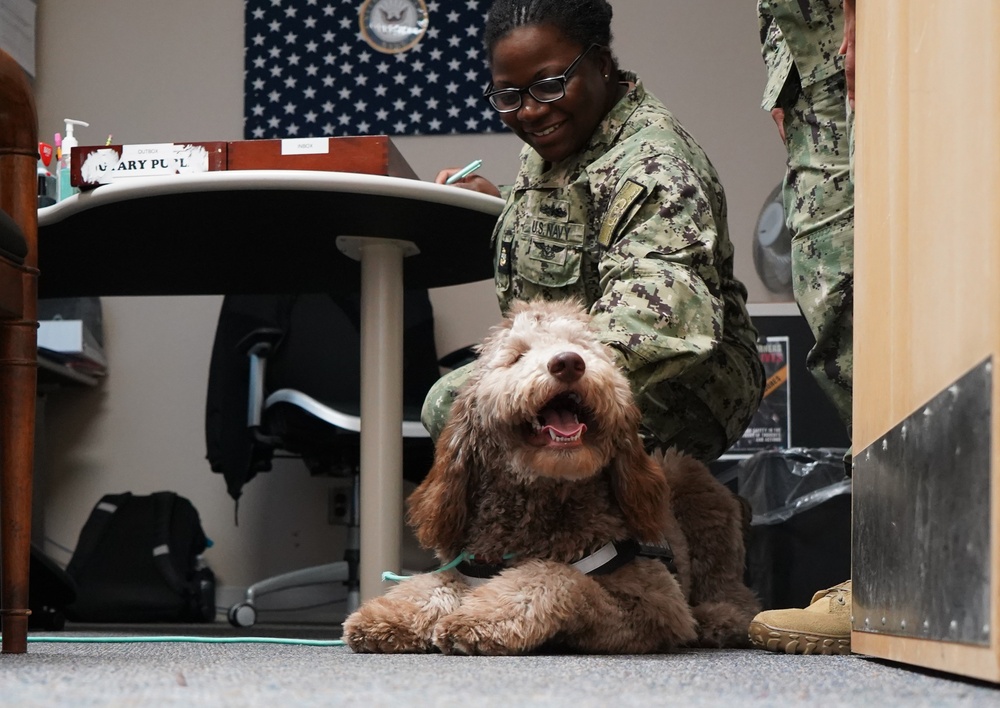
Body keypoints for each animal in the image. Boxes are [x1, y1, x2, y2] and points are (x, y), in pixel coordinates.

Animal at [344, 298, 756, 652]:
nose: (569, 362)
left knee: (735, 595)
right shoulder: (468, 562)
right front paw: (390, 614)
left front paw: (481, 617)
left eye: (583, 347)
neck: (540, 501)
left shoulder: (657, 601)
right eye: (516, 356)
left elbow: (558, 577)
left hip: (695, 493)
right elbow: (433, 581)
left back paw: (719, 619)